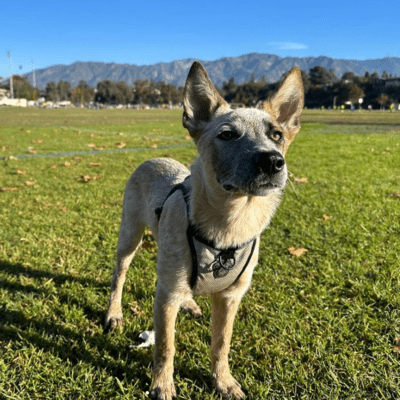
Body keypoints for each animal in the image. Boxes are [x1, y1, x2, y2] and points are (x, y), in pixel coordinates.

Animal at [103, 61, 304, 398]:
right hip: (130, 237)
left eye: (276, 134)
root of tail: (154, 157)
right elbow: (165, 346)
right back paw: (113, 314)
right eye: (227, 134)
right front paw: (162, 385)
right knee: (119, 277)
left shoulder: (230, 296)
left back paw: (190, 303)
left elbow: (221, 344)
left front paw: (223, 382)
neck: (229, 226)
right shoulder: (166, 295)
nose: (273, 161)